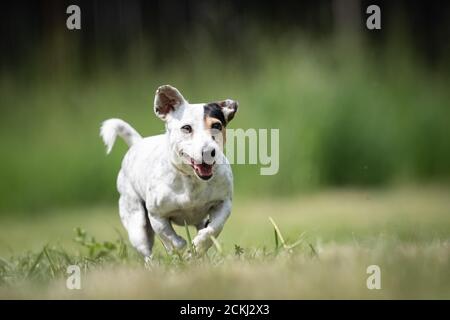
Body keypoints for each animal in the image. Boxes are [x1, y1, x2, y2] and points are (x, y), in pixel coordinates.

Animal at [100, 85, 237, 260]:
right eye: (186, 128)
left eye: (217, 126)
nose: (208, 151)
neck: (191, 179)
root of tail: (138, 143)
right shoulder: (157, 215)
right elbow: (172, 240)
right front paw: (180, 251)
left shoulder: (223, 203)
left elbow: (212, 229)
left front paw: (198, 246)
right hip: (136, 222)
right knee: (145, 249)